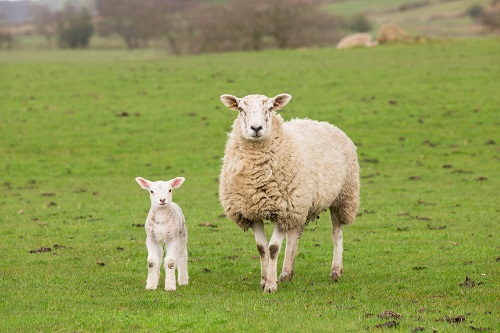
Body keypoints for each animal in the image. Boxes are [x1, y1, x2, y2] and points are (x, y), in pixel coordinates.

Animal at [219, 92, 360, 290]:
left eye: (270, 108)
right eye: (240, 108)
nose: (256, 128)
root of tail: (322, 123)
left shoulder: (283, 209)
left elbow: (273, 248)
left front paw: (270, 285)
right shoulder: (253, 211)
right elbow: (261, 248)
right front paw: (264, 280)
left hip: (342, 197)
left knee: (336, 234)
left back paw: (335, 271)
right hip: (301, 204)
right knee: (294, 235)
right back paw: (286, 273)